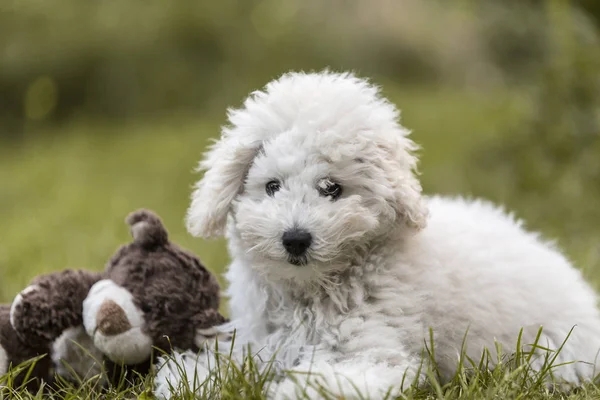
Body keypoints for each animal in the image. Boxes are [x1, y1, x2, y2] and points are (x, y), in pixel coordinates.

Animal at [154, 70, 600, 398]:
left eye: (332, 188)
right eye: (272, 186)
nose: (295, 239)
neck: (311, 292)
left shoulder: (375, 354)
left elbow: (321, 382)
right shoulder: (255, 341)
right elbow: (215, 369)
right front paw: (184, 380)